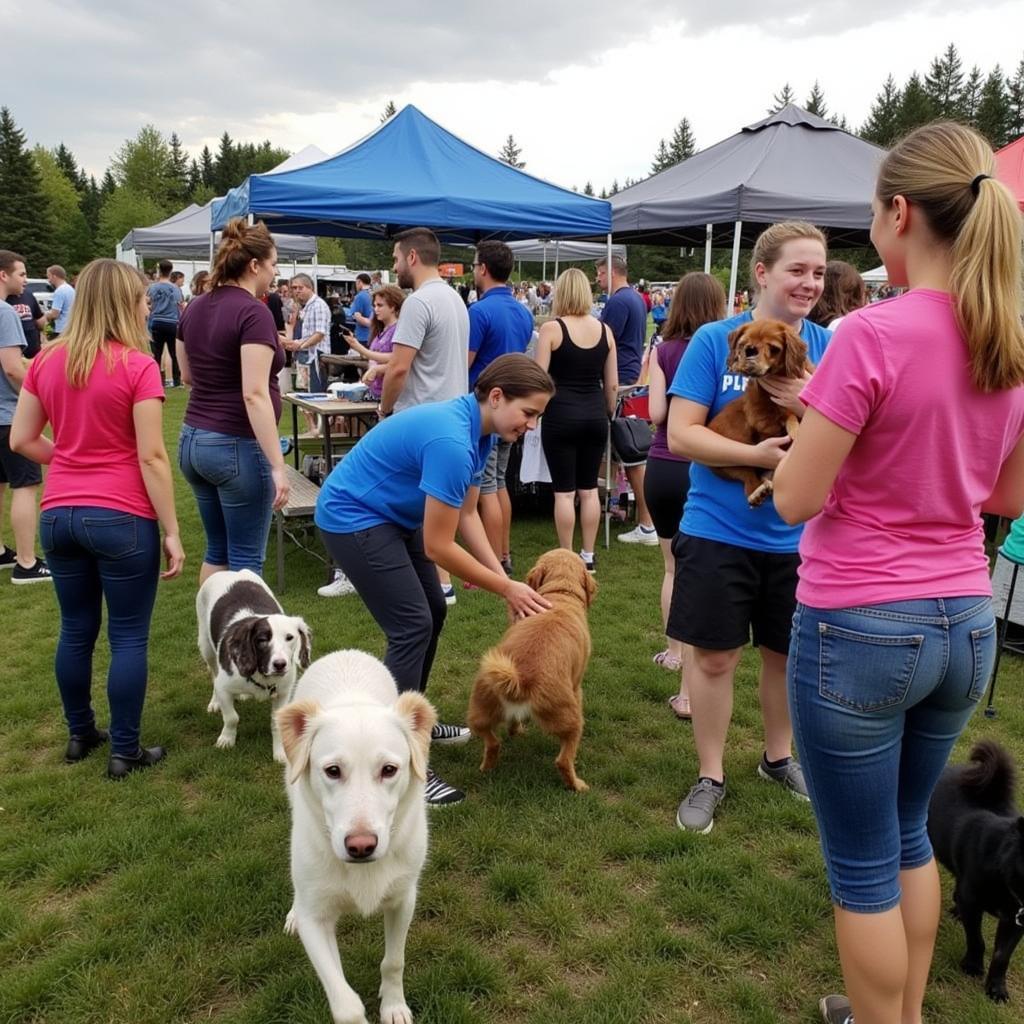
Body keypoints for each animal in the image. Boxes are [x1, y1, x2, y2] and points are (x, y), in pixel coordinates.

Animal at [194, 569, 307, 761]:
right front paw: (227, 739)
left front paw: (280, 752)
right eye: (261, 640)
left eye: (290, 637)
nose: (280, 665)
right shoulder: (224, 687)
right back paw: (215, 701)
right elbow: (231, 717)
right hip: (206, 647)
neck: (261, 674)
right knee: (213, 673)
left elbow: (276, 722)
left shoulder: (284, 693)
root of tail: (230, 571)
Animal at [280, 651, 436, 1019]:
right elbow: (346, 1004)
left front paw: (394, 1007)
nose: (361, 846)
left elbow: (394, 962)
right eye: (332, 771)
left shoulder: (403, 900)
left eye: (389, 770)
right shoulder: (316, 921)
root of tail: (346, 653)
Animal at [466, 552, 598, 790]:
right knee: (563, 760)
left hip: (478, 712)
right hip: (571, 719)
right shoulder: (577, 685)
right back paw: (577, 785)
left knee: (493, 742)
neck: (560, 594)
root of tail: (520, 679)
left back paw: (489, 764)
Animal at [708, 317, 811, 505]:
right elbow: (785, 414)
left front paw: (795, 428)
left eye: (774, 348)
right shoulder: (761, 417)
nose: (750, 351)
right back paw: (757, 493)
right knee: (750, 481)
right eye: (742, 344)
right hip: (734, 462)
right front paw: (793, 428)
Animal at [929, 741, 1024, 1003]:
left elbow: (1002, 955)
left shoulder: (1016, 920)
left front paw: (996, 989)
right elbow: (977, 939)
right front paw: (972, 966)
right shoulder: (973, 904)